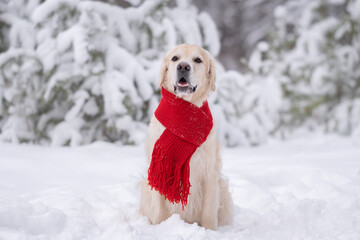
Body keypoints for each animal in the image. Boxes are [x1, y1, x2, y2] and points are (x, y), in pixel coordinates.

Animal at [139, 43, 232, 231]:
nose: (183, 66)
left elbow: (208, 212)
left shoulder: (210, 172)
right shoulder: (159, 167)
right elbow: (159, 208)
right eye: (175, 58)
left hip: (223, 189)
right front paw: (160, 227)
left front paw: (209, 231)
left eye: (198, 60)